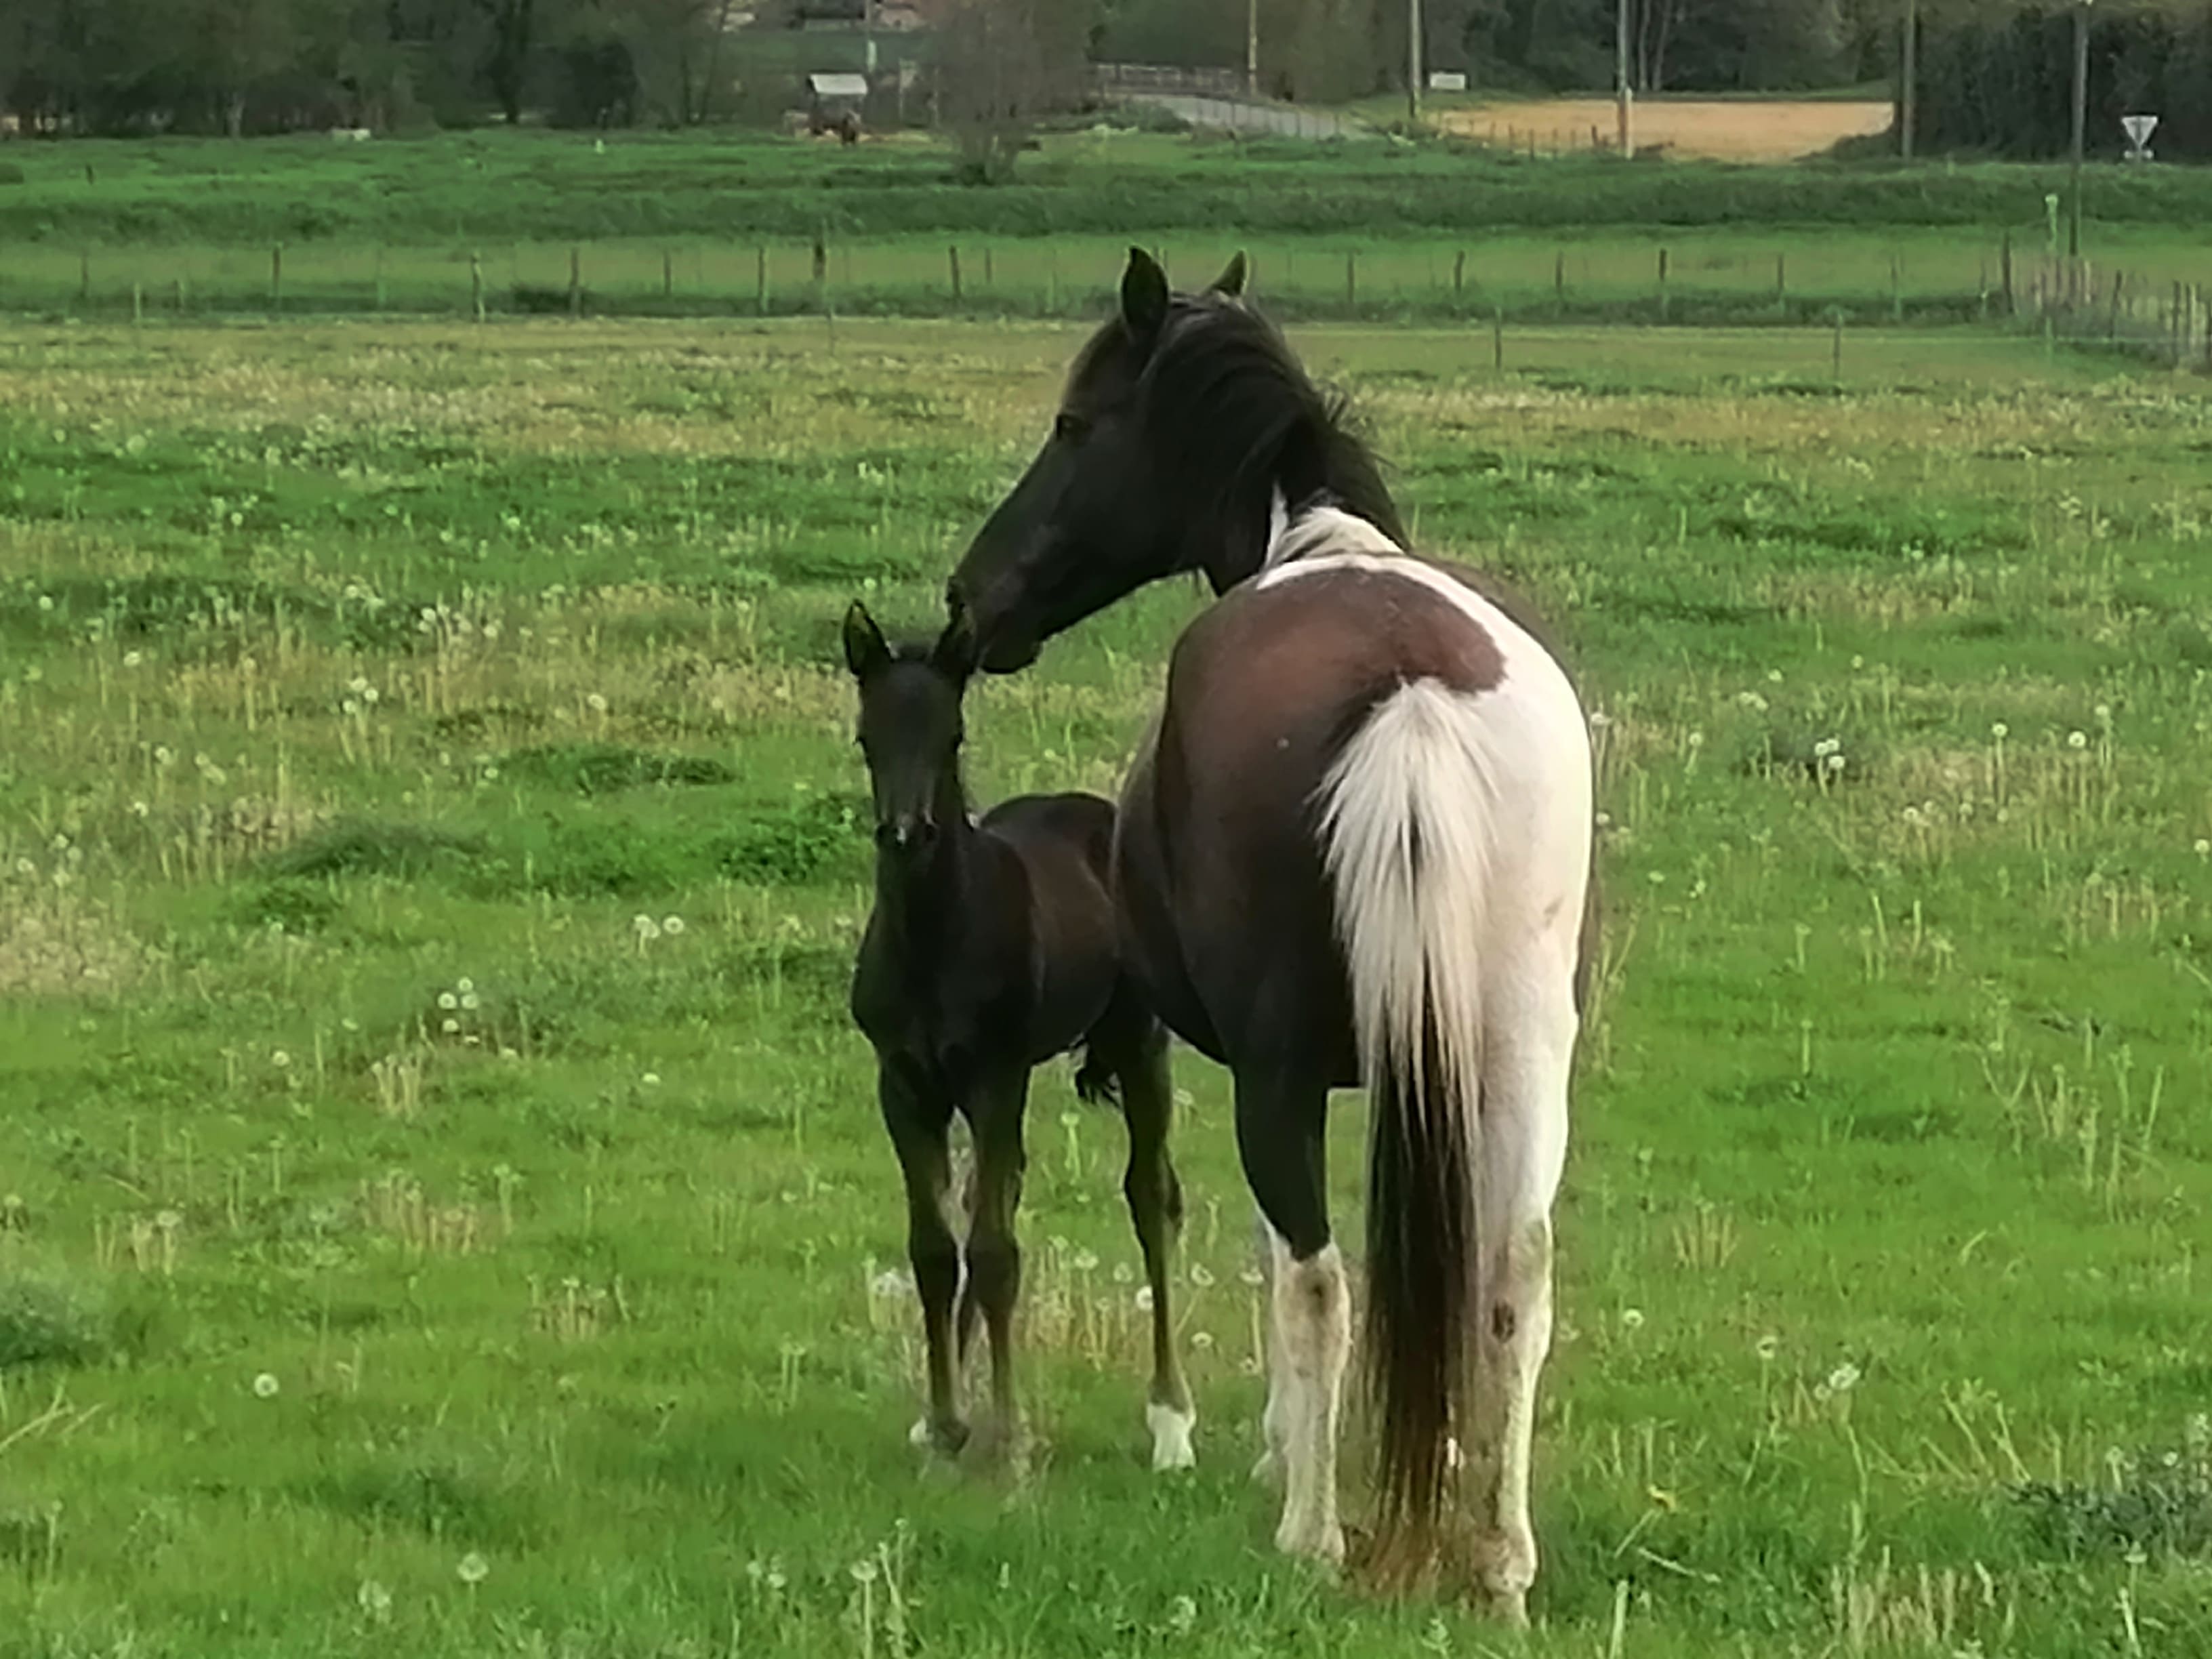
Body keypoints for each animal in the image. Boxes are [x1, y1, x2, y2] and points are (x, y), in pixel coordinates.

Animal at [840, 606, 1194, 1477]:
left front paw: (1008, 1439)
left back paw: (1171, 1422)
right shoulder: (904, 1084)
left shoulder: (995, 1075)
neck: (935, 942)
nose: (905, 834)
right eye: (866, 735)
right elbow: (937, 1249)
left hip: (1138, 1044)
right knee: (996, 1197)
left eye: (953, 734)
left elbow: (997, 1254)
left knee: (1151, 1197)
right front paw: (944, 1426)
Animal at [942, 249, 1601, 1628]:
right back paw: (1499, 1558)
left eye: (1074, 425)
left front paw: (1279, 1455)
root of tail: (1408, 684)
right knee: (1512, 1277)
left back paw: (1313, 1531)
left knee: (1317, 1273)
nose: (970, 598)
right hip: (1520, 1055)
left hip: (1280, 1069)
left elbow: (1275, 1256)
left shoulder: (1261, 1066)